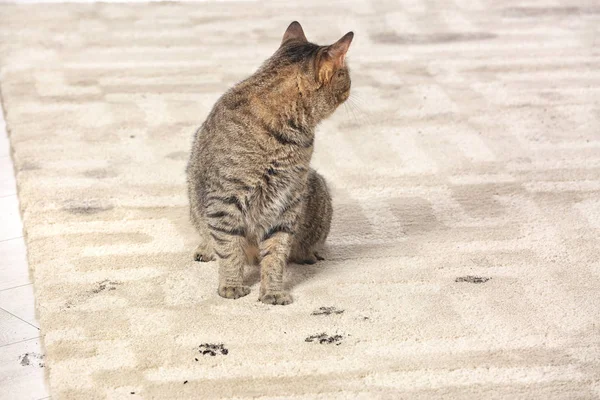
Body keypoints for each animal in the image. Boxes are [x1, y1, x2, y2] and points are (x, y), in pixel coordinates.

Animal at [184, 21, 352, 304]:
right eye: (347, 74)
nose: (352, 84)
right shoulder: (225, 202)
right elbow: (230, 250)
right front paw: (231, 285)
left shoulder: (286, 204)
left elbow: (275, 254)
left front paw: (272, 291)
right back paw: (205, 249)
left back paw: (309, 254)